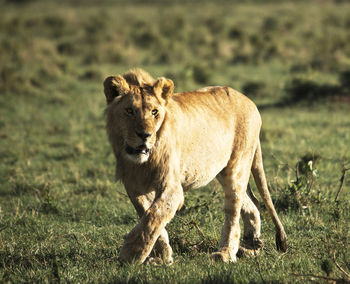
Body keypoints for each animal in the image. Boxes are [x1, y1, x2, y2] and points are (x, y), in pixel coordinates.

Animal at [103, 68, 288, 264]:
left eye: (154, 112)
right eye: (129, 111)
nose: (145, 135)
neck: (141, 162)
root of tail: (250, 102)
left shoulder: (172, 188)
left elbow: (153, 216)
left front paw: (130, 254)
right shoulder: (134, 188)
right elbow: (149, 217)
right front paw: (162, 257)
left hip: (237, 166)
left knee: (234, 211)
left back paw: (226, 254)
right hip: (223, 171)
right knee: (252, 203)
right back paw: (252, 246)